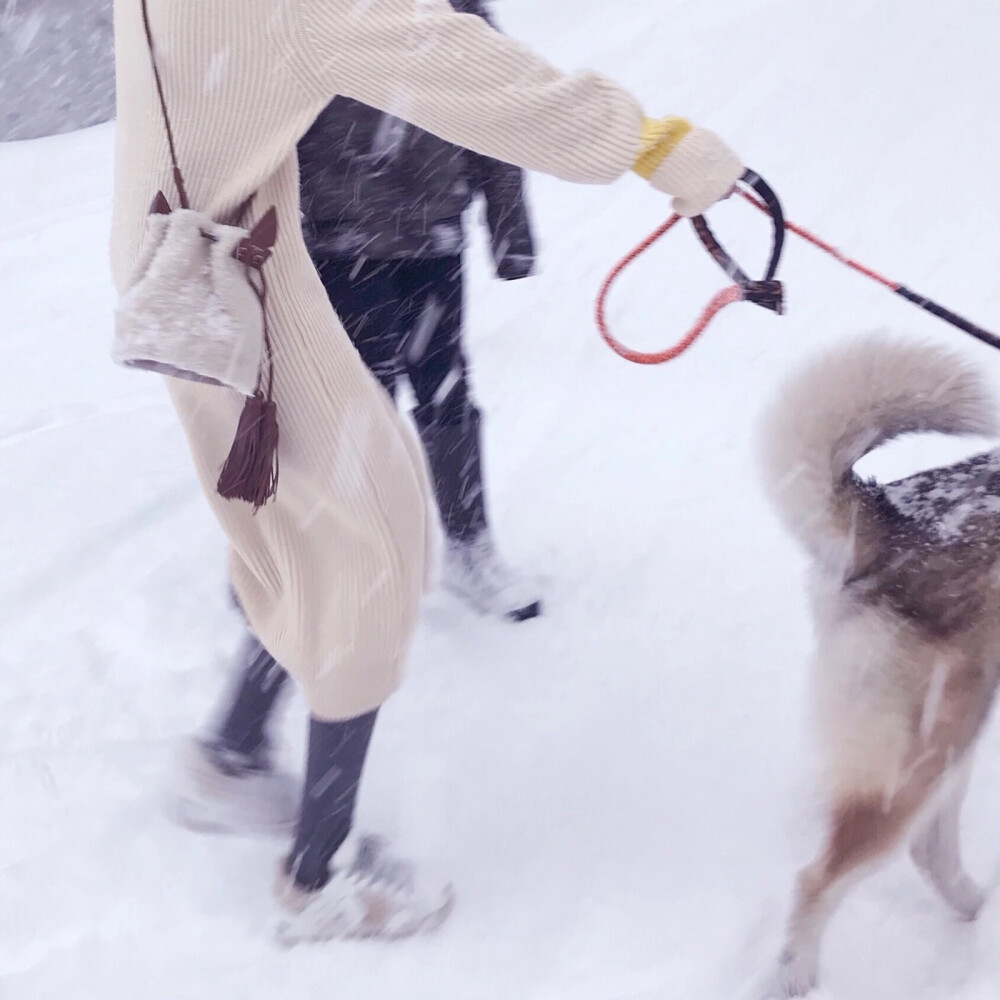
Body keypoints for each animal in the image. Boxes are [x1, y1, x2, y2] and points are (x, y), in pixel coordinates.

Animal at [756, 334, 1000, 992]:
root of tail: (891, 514)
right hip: (919, 755)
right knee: (819, 878)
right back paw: (798, 978)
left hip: (952, 735)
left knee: (929, 852)